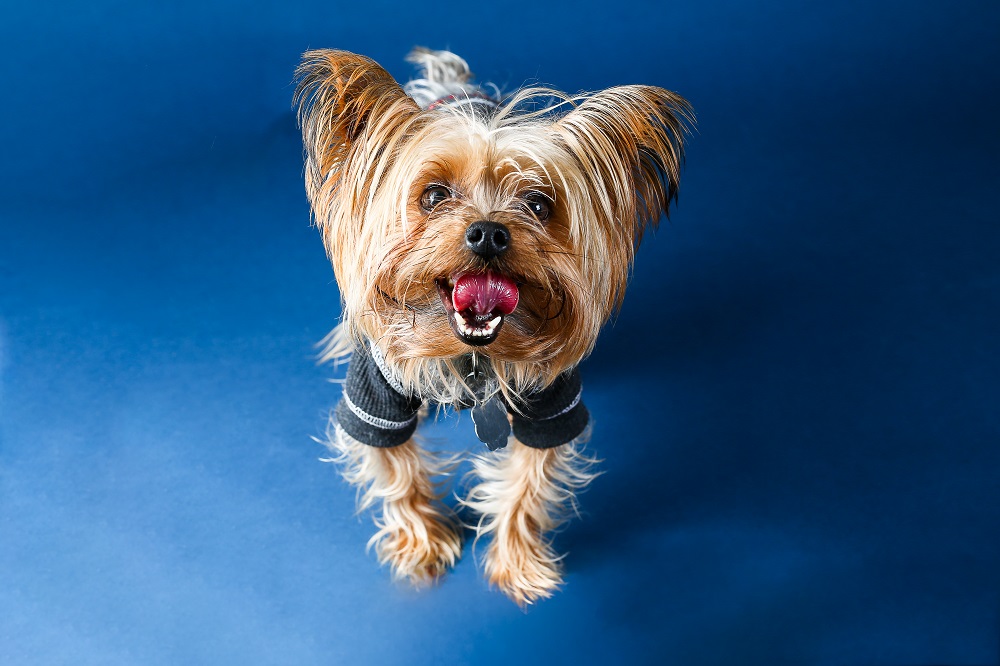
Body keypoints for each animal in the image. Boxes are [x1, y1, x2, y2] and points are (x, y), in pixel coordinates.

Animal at [292, 46, 692, 604]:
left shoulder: (551, 401)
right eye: (433, 196)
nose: (488, 232)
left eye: (539, 204)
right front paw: (422, 544)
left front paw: (517, 562)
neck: (474, 353)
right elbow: (396, 470)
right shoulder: (375, 394)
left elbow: (527, 482)